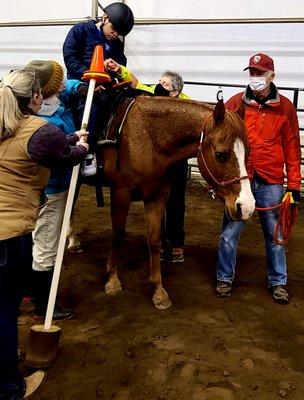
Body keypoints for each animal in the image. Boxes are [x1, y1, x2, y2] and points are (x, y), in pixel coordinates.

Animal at [71, 97, 254, 310]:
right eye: (221, 155)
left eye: (248, 152)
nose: (247, 207)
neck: (148, 139)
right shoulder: (121, 194)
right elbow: (117, 236)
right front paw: (113, 280)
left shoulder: (156, 196)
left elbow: (155, 240)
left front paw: (159, 292)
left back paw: (73, 242)